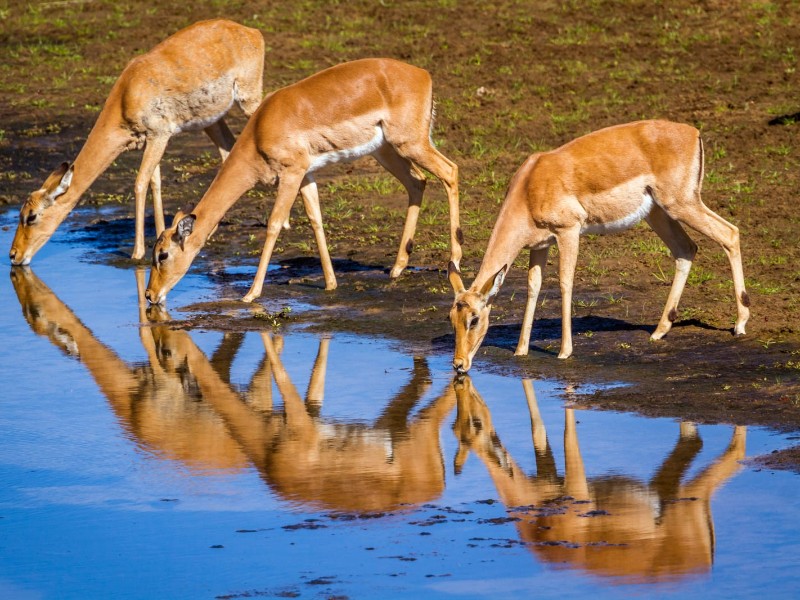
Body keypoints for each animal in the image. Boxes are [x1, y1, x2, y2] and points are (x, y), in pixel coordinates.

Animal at [9, 19, 265, 265]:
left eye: (31, 216)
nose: (14, 255)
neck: (127, 94)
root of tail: (251, 32)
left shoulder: (160, 135)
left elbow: (140, 183)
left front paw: (137, 253)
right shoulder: (150, 140)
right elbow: (155, 183)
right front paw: (161, 234)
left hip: (248, 101)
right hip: (212, 120)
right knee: (228, 153)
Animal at [145, 58, 461, 305]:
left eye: (162, 255)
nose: (149, 295)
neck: (260, 132)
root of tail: (423, 74)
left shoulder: (291, 172)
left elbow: (274, 224)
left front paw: (251, 294)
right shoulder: (307, 174)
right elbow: (315, 218)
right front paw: (331, 283)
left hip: (410, 144)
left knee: (450, 171)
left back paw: (454, 260)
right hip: (386, 150)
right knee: (417, 182)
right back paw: (397, 268)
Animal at [448, 120, 750, 373]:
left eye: (474, 319)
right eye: (452, 318)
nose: (459, 365)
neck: (530, 186)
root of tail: (692, 132)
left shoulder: (568, 232)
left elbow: (565, 283)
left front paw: (564, 351)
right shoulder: (539, 245)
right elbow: (533, 286)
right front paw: (521, 350)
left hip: (681, 205)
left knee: (730, 233)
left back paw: (740, 324)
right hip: (658, 213)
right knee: (686, 249)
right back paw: (659, 330)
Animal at [453, 376, 747, 582]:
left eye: (475, 425)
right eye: (455, 428)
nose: (460, 371)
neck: (538, 521)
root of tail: (704, 564)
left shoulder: (577, 488)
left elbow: (567, 433)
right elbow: (540, 433)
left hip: (689, 500)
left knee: (730, 452)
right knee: (693, 441)